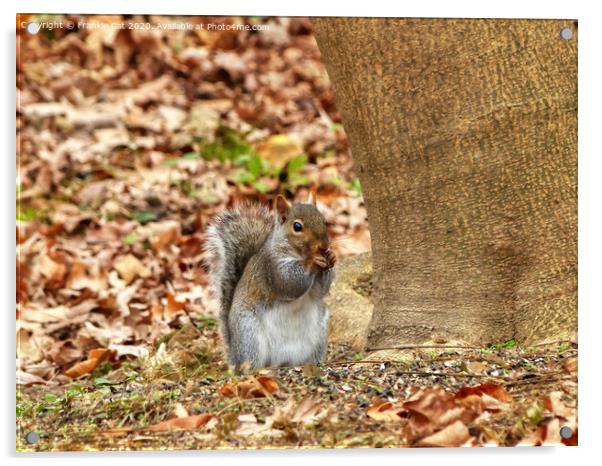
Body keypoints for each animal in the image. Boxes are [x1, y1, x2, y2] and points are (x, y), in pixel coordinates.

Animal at [204, 192, 336, 372]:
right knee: (249, 363)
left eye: (323, 220)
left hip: (319, 334)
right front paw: (312, 260)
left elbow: (319, 291)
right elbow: (290, 283)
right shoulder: (272, 267)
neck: (297, 253)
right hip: (249, 334)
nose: (323, 246)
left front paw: (331, 257)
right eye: (297, 227)